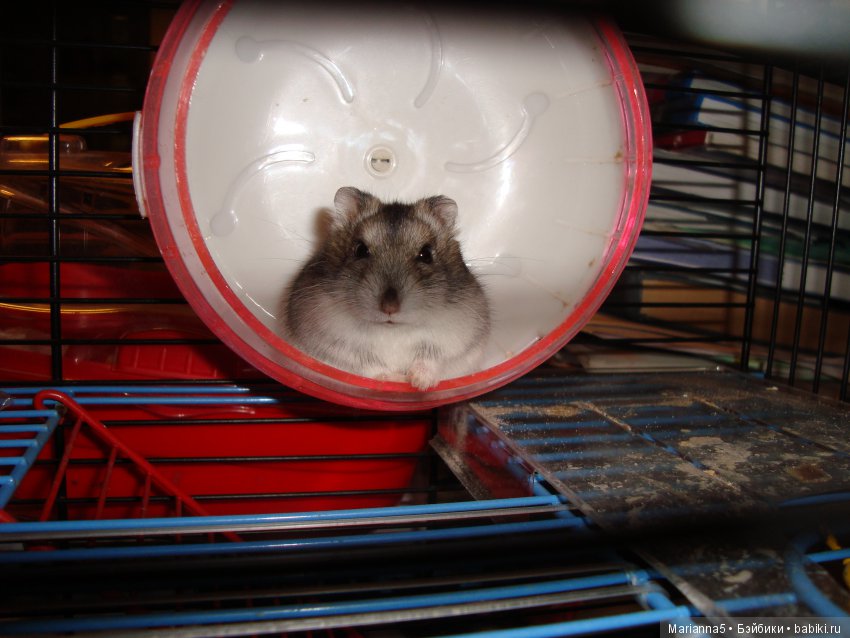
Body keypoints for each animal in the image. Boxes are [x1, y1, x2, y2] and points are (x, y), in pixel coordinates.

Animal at [284, 186, 490, 390]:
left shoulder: (452, 340)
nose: (389, 308)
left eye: (426, 254)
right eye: (360, 250)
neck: (393, 329)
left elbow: (431, 359)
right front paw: (398, 380)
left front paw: (419, 384)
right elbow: (369, 366)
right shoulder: (335, 344)